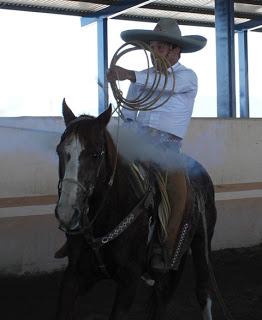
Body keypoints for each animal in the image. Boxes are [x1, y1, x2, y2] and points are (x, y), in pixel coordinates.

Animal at [54, 100, 217, 320]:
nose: (66, 212)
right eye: (59, 151)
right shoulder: (74, 276)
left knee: (203, 292)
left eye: (95, 154)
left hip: (202, 244)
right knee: (161, 299)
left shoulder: (129, 283)